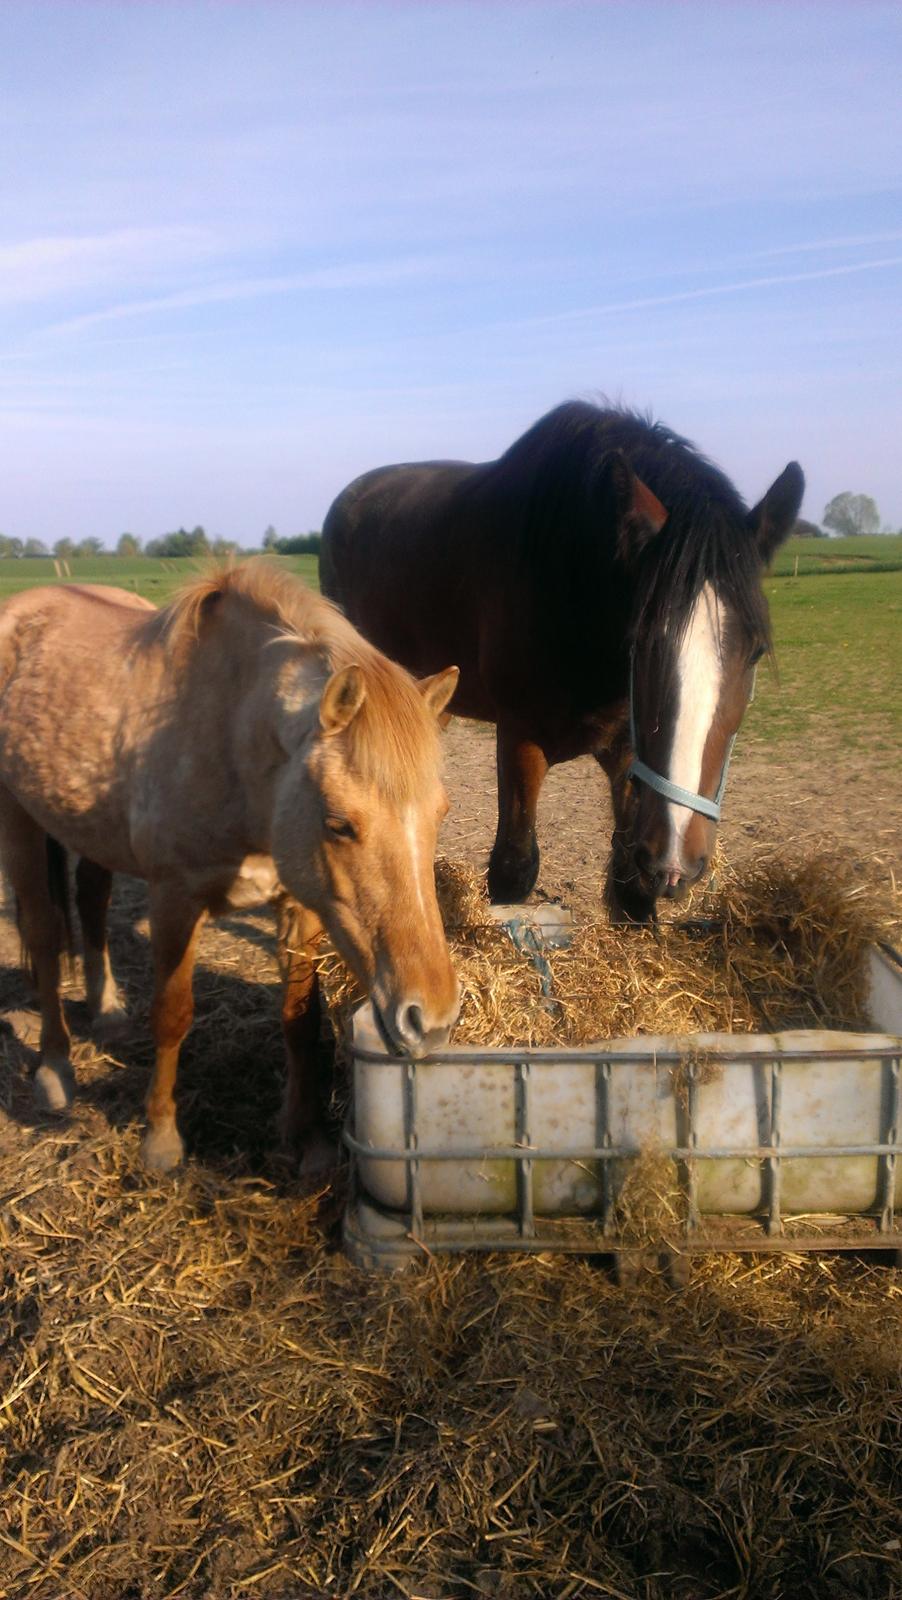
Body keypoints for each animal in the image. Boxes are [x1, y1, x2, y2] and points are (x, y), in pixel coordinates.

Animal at [0, 569, 460, 1171]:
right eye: (339, 824)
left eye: (440, 812)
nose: (430, 1021)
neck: (231, 739)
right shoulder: (175, 899)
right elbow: (172, 1015)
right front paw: (161, 1138)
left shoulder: (299, 903)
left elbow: (301, 1018)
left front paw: (307, 1137)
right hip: (19, 818)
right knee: (45, 936)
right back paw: (55, 1068)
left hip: (91, 830)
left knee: (91, 902)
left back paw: (107, 1010)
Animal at [318, 403, 802, 928]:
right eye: (639, 641)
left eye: (755, 651)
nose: (674, 862)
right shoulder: (519, 738)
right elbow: (513, 868)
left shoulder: (627, 752)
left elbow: (630, 889)